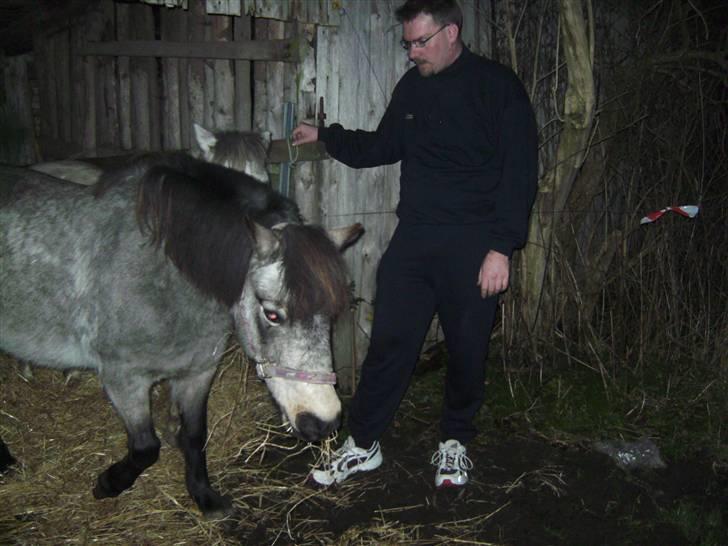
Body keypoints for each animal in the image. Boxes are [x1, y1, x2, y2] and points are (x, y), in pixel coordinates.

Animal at [0, 145, 362, 518]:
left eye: (331, 313)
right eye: (272, 313)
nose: (323, 422)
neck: (163, 278)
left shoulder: (197, 373)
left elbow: (193, 436)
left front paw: (205, 498)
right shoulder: (124, 379)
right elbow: (146, 446)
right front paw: (108, 484)